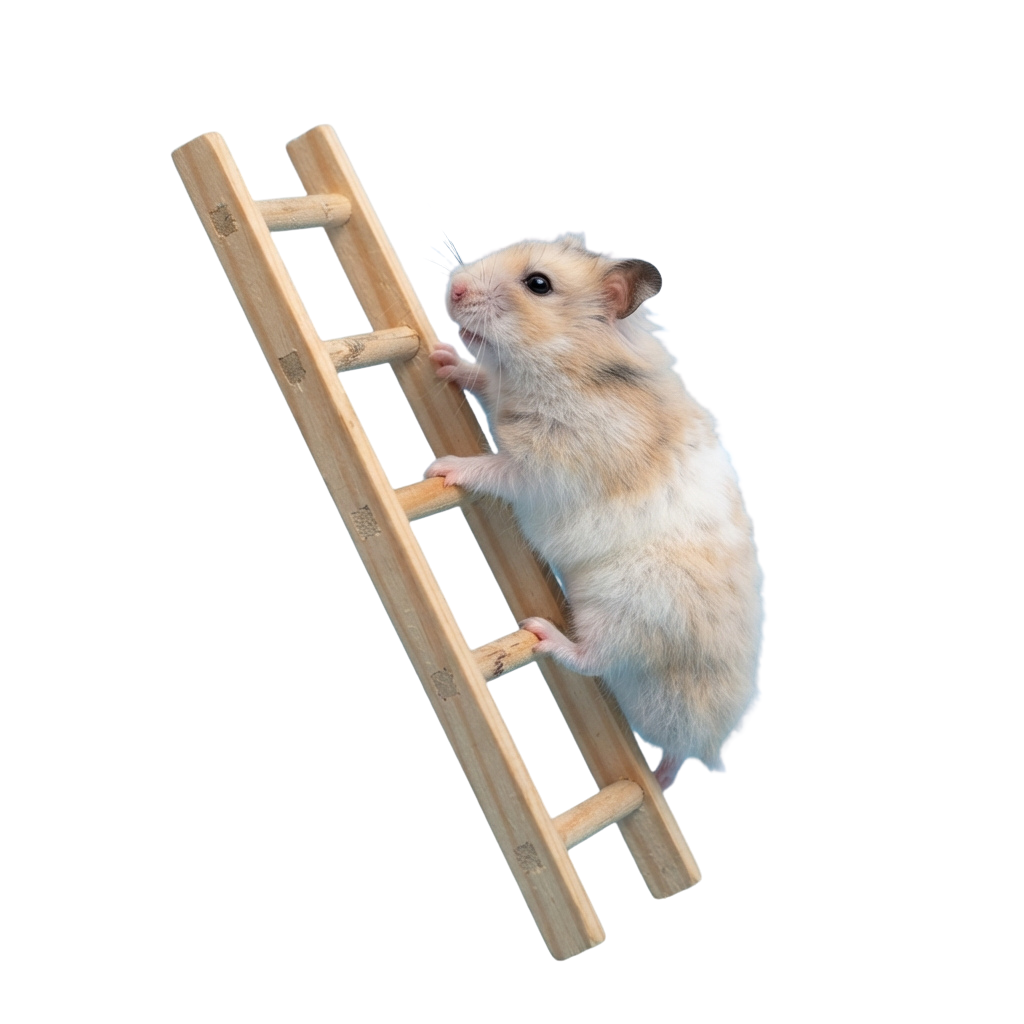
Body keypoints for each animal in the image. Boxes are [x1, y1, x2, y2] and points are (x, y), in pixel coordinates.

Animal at [423, 230, 766, 791]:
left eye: (539, 285)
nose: (454, 290)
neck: (571, 367)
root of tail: (701, 743)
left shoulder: (544, 470)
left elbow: (495, 468)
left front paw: (442, 469)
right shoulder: (508, 396)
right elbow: (485, 381)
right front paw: (444, 358)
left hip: (622, 611)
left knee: (591, 659)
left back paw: (543, 634)